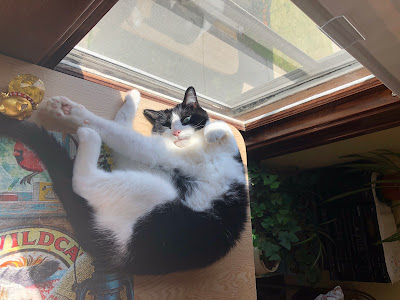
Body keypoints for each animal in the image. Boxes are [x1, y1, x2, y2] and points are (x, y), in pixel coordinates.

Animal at [0, 86, 248, 274]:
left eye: (186, 118)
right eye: (166, 125)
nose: (177, 133)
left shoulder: (159, 152)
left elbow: (117, 132)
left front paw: (73, 113)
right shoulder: (146, 158)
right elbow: (120, 130)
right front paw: (132, 98)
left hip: (153, 193)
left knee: (83, 182)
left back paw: (88, 135)